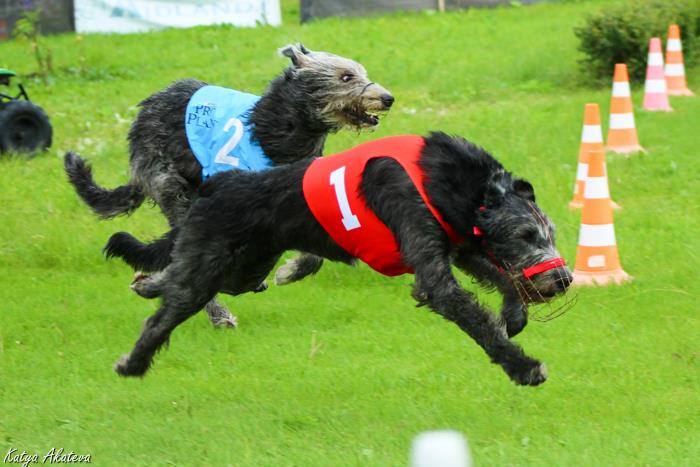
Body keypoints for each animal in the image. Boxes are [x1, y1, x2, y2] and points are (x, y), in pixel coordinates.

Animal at [63, 44, 394, 330]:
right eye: (345, 76)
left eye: (360, 72)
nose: (387, 98)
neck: (275, 129)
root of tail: (144, 112)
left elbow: (313, 253)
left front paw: (289, 271)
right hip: (170, 184)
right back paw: (216, 312)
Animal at [108, 133, 568, 388]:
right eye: (526, 235)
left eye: (551, 234)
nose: (564, 278)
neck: (453, 184)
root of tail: (215, 186)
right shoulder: (427, 250)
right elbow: (471, 316)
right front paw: (523, 366)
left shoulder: (460, 244)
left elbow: (502, 277)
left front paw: (515, 315)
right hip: (213, 257)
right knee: (168, 310)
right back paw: (133, 361)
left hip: (249, 265)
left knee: (195, 282)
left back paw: (148, 283)